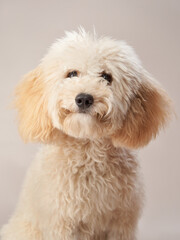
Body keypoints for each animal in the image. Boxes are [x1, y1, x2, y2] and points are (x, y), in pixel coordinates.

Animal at [0, 29, 172, 239]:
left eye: (106, 77)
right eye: (72, 74)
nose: (83, 98)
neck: (88, 151)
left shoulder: (121, 223)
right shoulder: (62, 223)